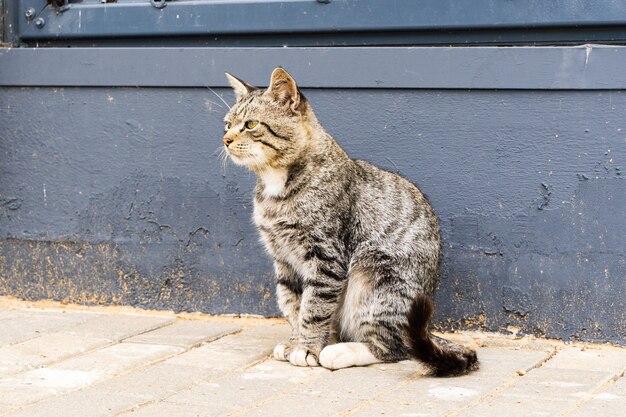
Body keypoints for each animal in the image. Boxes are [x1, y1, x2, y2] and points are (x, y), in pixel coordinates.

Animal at [222, 67, 476, 374]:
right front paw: (296, 341)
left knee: (395, 347)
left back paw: (340, 352)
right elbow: (294, 305)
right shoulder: (283, 260)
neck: (277, 185)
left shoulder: (325, 257)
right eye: (227, 125)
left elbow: (313, 307)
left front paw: (307, 347)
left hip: (375, 278)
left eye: (250, 124)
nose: (225, 140)